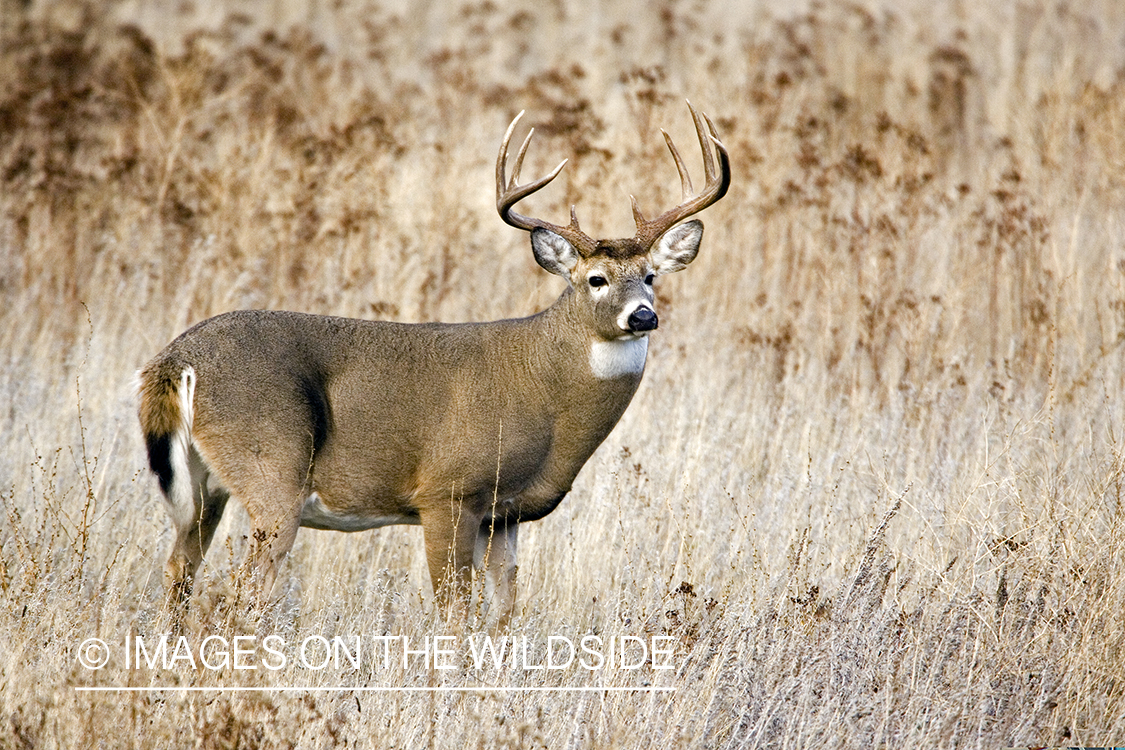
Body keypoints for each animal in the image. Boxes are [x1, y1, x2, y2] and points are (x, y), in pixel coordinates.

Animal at [138, 101, 729, 629]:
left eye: (650, 276)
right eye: (596, 279)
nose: (643, 315)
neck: (544, 391)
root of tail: (174, 362)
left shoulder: (503, 513)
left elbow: (504, 610)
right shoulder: (448, 491)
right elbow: (454, 611)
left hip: (207, 486)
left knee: (179, 571)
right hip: (272, 472)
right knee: (240, 592)